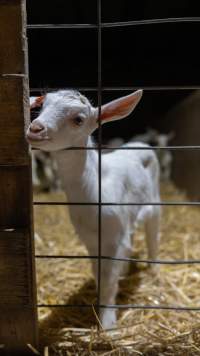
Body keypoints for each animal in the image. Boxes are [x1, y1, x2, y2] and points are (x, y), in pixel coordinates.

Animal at [27, 89, 161, 328]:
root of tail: (141, 144)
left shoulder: (113, 238)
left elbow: (108, 279)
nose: (35, 129)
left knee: (152, 233)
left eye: (78, 119)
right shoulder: (91, 239)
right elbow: (99, 272)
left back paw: (153, 269)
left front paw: (107, 323)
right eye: (42, 107)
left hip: (154, 200)